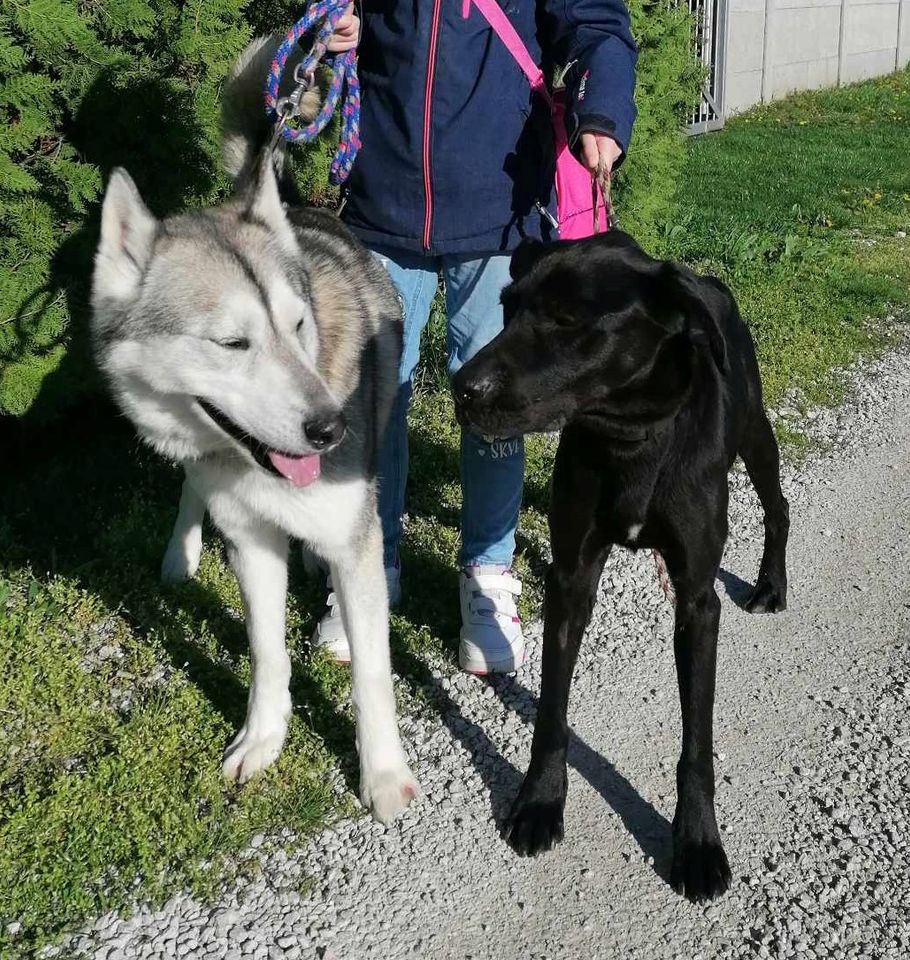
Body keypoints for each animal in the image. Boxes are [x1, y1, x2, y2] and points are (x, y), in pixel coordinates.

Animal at [91, 35, 418, 816]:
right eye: (233, 343)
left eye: (298, 327)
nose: (330, 430)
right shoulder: (248, 541)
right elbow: (268, 652)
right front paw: (262, 739)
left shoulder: (354, 541)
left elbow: (371, 673)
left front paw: (382, 775)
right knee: (191, 488)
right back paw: (180, 553)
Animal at [454, 231, 792, 900]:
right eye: (507, 306)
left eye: (567, 319)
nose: (463, 387)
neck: (631, 437)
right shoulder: (569, 581)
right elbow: (551, 712)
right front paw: (539, 802)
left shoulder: (697, 601)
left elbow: (696, 743)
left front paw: (697, 842)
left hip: (754, 433)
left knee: (778, 504)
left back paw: (771, 582)